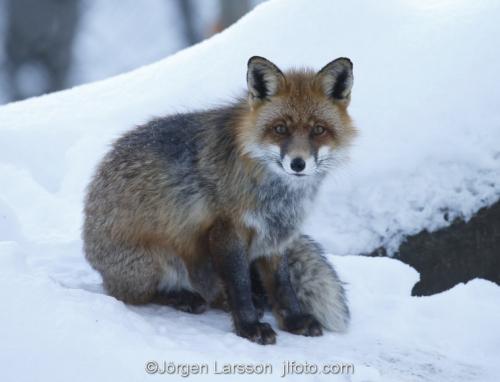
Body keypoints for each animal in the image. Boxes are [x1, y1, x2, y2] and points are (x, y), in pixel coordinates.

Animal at [84, 56, 356, 346]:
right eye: (280, 128)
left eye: (318, 130)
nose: (298, 164)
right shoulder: (227, 230)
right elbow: (239, 286)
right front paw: (249, 327)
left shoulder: (275, 234)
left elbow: (282, 284)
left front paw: (294, 321)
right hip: (155, 262)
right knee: (136, 295)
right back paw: (185, 297)